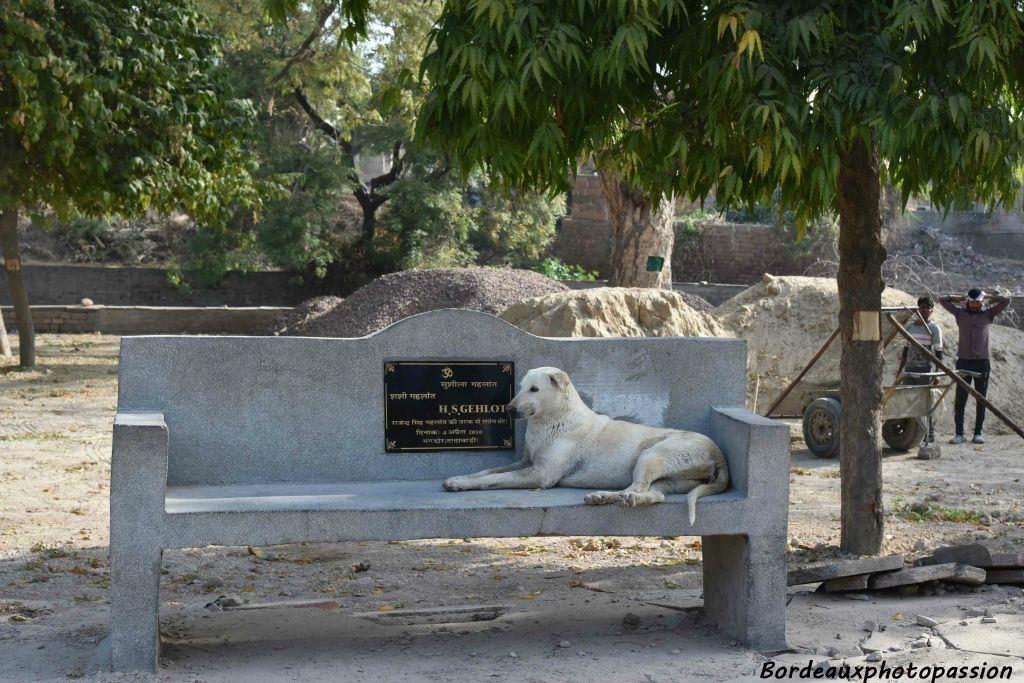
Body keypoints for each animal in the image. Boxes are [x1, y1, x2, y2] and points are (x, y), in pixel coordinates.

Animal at [442, 368, 729, 524]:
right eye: (521, 387)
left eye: (534, 389)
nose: (509, 410)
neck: (551, 419)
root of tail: (719, 456)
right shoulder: (525, 462)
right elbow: (487, 472)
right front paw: (460, 478)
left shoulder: (539, 473)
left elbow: (494, 480)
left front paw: (461, 484)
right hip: (671, 477)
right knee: (654, 494)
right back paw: (609, 498)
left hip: (652, 454)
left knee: (637, 487)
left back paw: (612, 497)